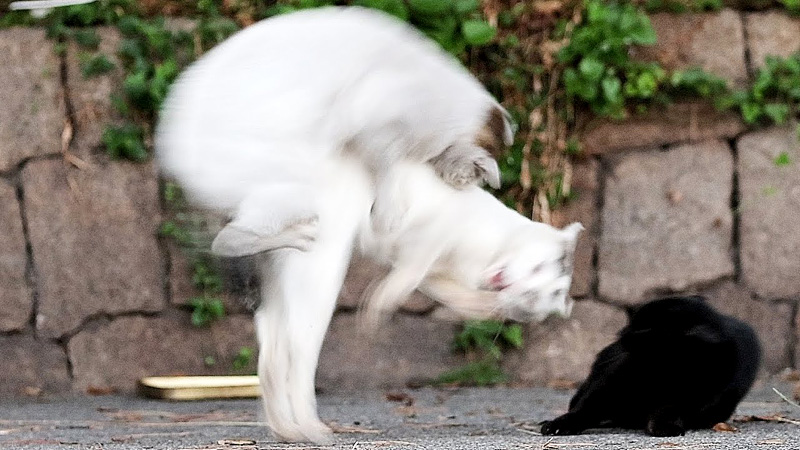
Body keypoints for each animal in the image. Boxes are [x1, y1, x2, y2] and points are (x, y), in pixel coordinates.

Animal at [158, 6, 512, 256]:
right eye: (474, 177)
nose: (468, 185)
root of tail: (169, 144)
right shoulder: (375, 118)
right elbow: (388, 168)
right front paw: (388, 214)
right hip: (297, 180)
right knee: (226, 241)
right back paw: (297, 238)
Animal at [540, 296, 760, 436]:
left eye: (644, 329)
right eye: (632, 323)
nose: (621, 334)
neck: (660, 370)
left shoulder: (694, 396)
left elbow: (669, 410)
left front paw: (663, 426)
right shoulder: (611, 382)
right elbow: (586, 407)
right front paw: (560, 424)